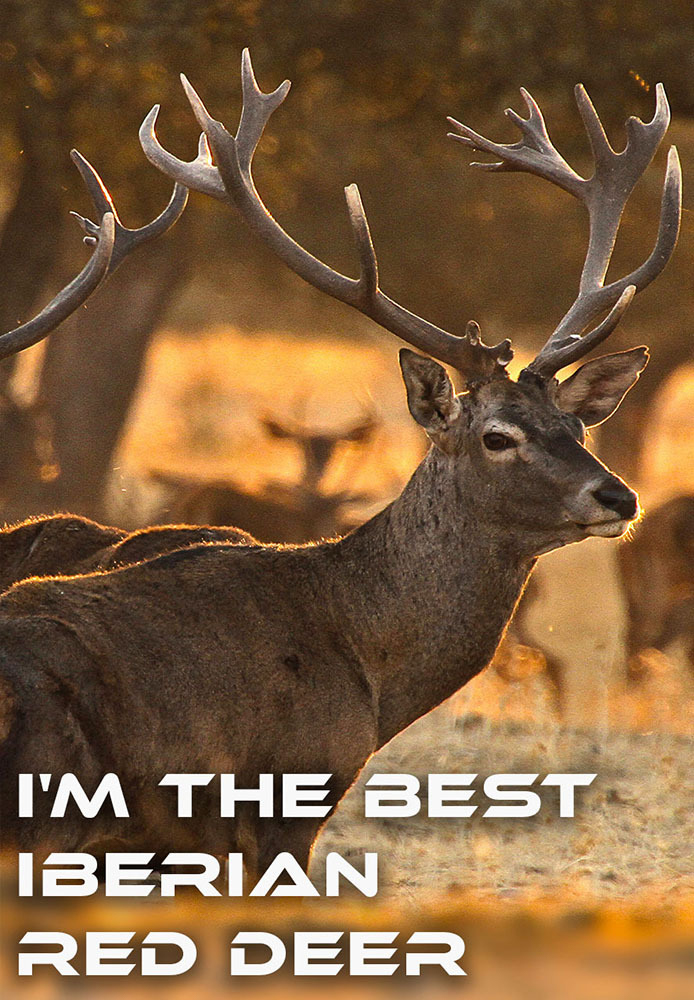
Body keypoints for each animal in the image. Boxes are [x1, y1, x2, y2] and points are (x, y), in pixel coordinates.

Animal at [0, 52, 681, 876]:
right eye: (497, 436)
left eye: (577, 424)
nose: (620, 498)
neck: (366, 663)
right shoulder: (287, 795)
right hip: (50, 811)